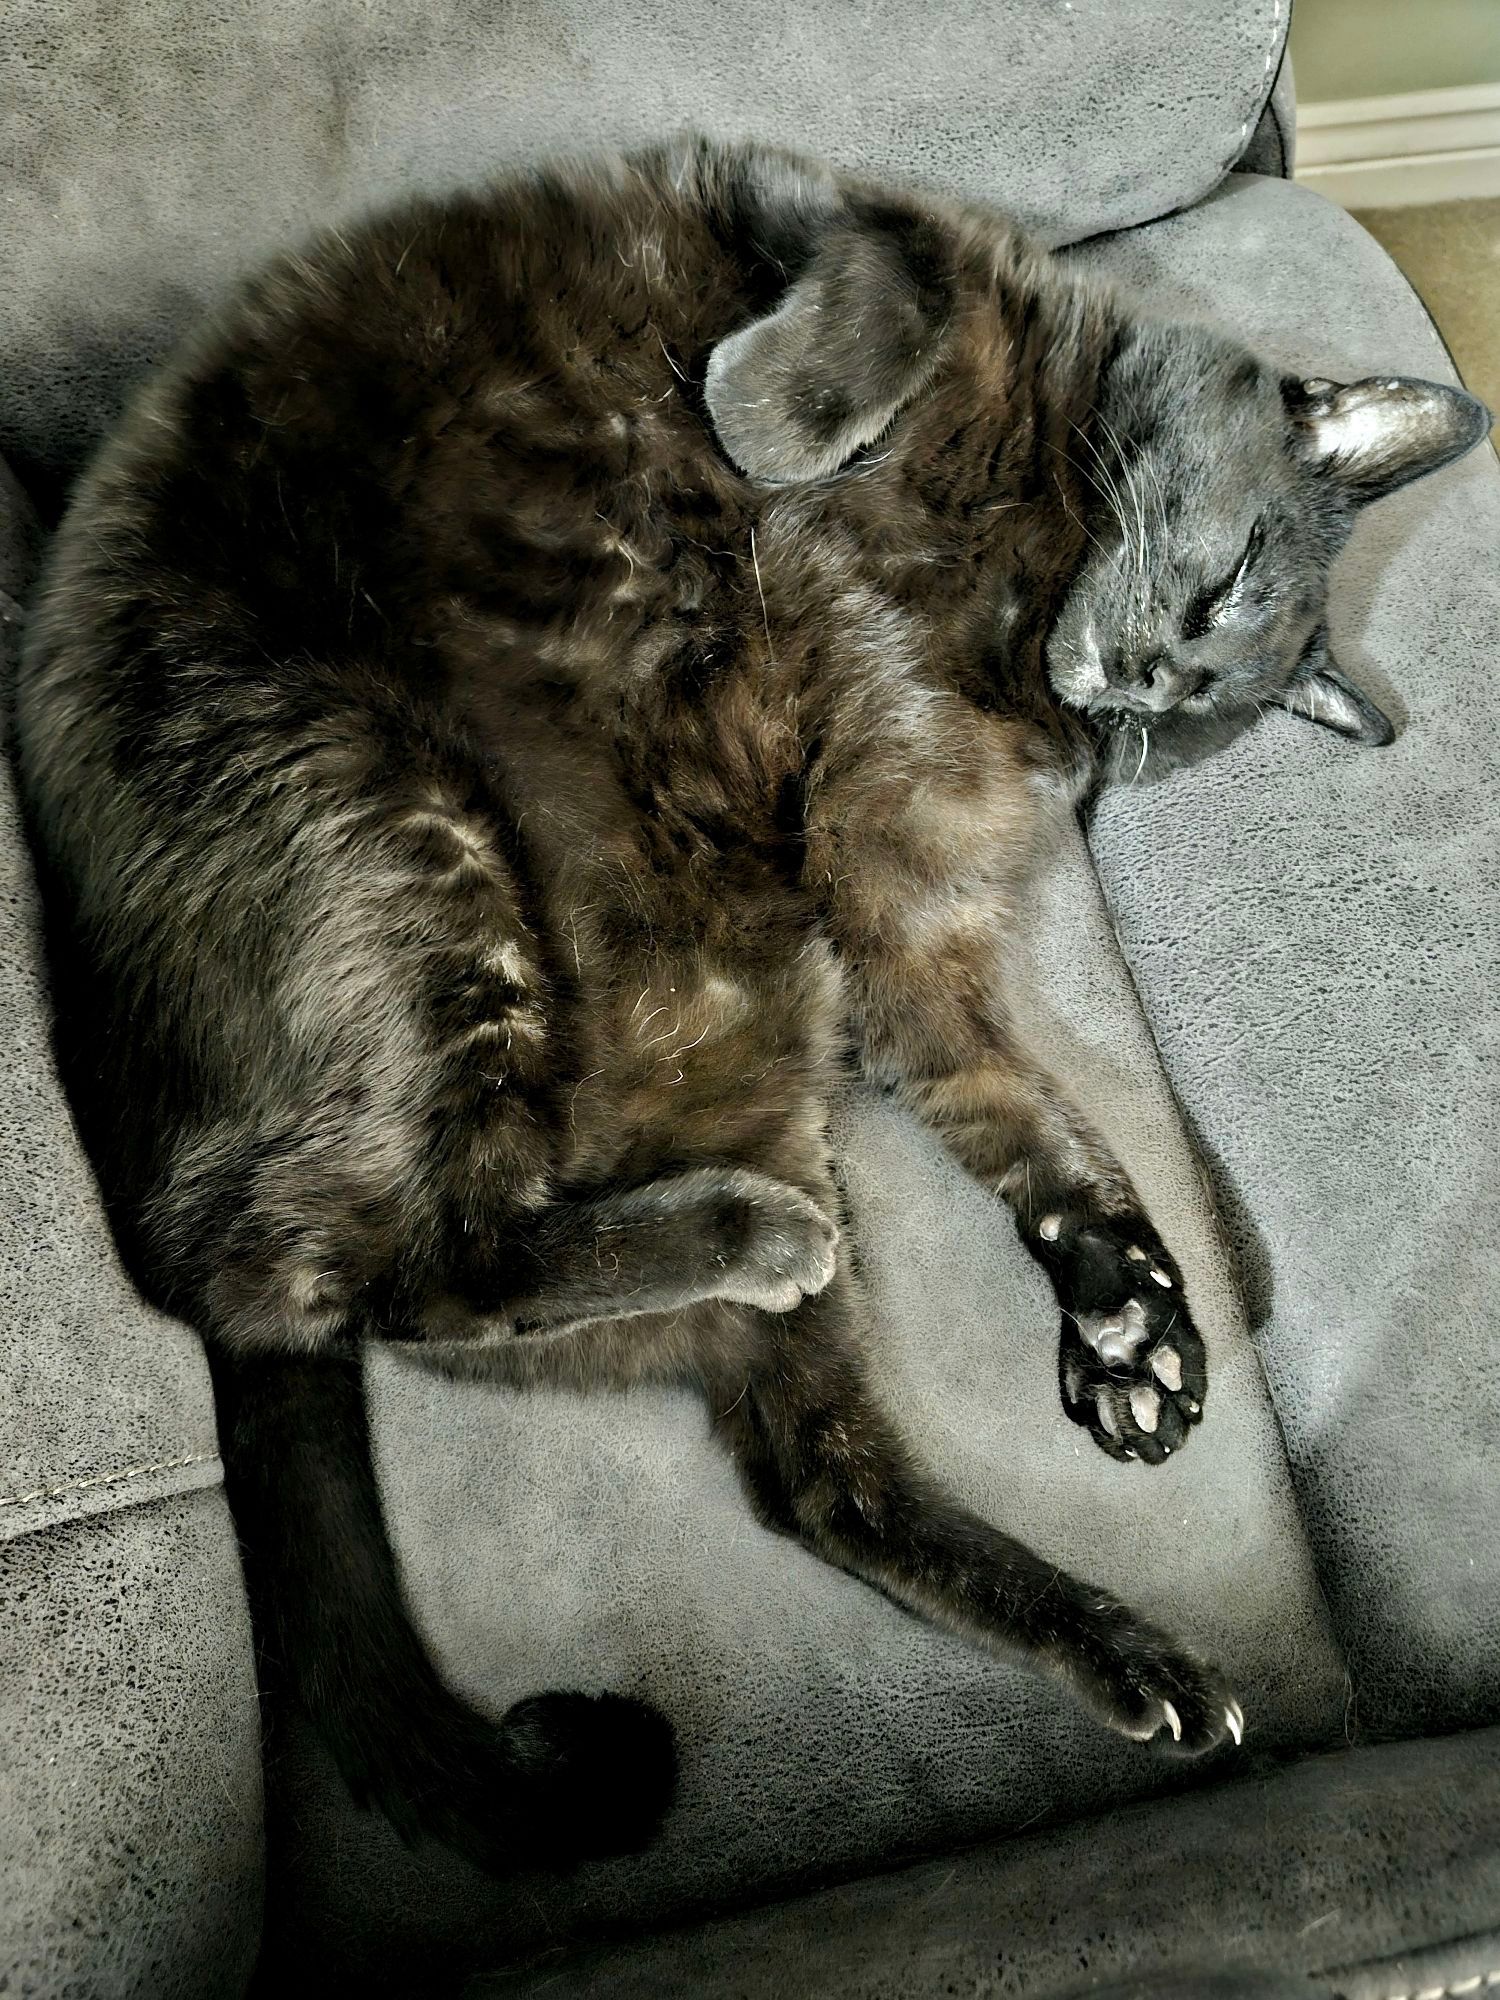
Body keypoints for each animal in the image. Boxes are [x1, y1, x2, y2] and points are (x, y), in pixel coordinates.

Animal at [14, 141, 1496, 1872]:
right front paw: (766, 429)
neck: (1008, 574)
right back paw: (757, 1234)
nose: (1136, 686)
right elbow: (888, 288)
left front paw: (1131, 1311)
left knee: (799, 1471)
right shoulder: (803, 201)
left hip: (744, 1025)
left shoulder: (899, 919)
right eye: (1223, 591)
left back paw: (1128, 1644)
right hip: (401, 837)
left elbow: (1037, 1123)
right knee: (333, 1270)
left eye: (1191, 716)